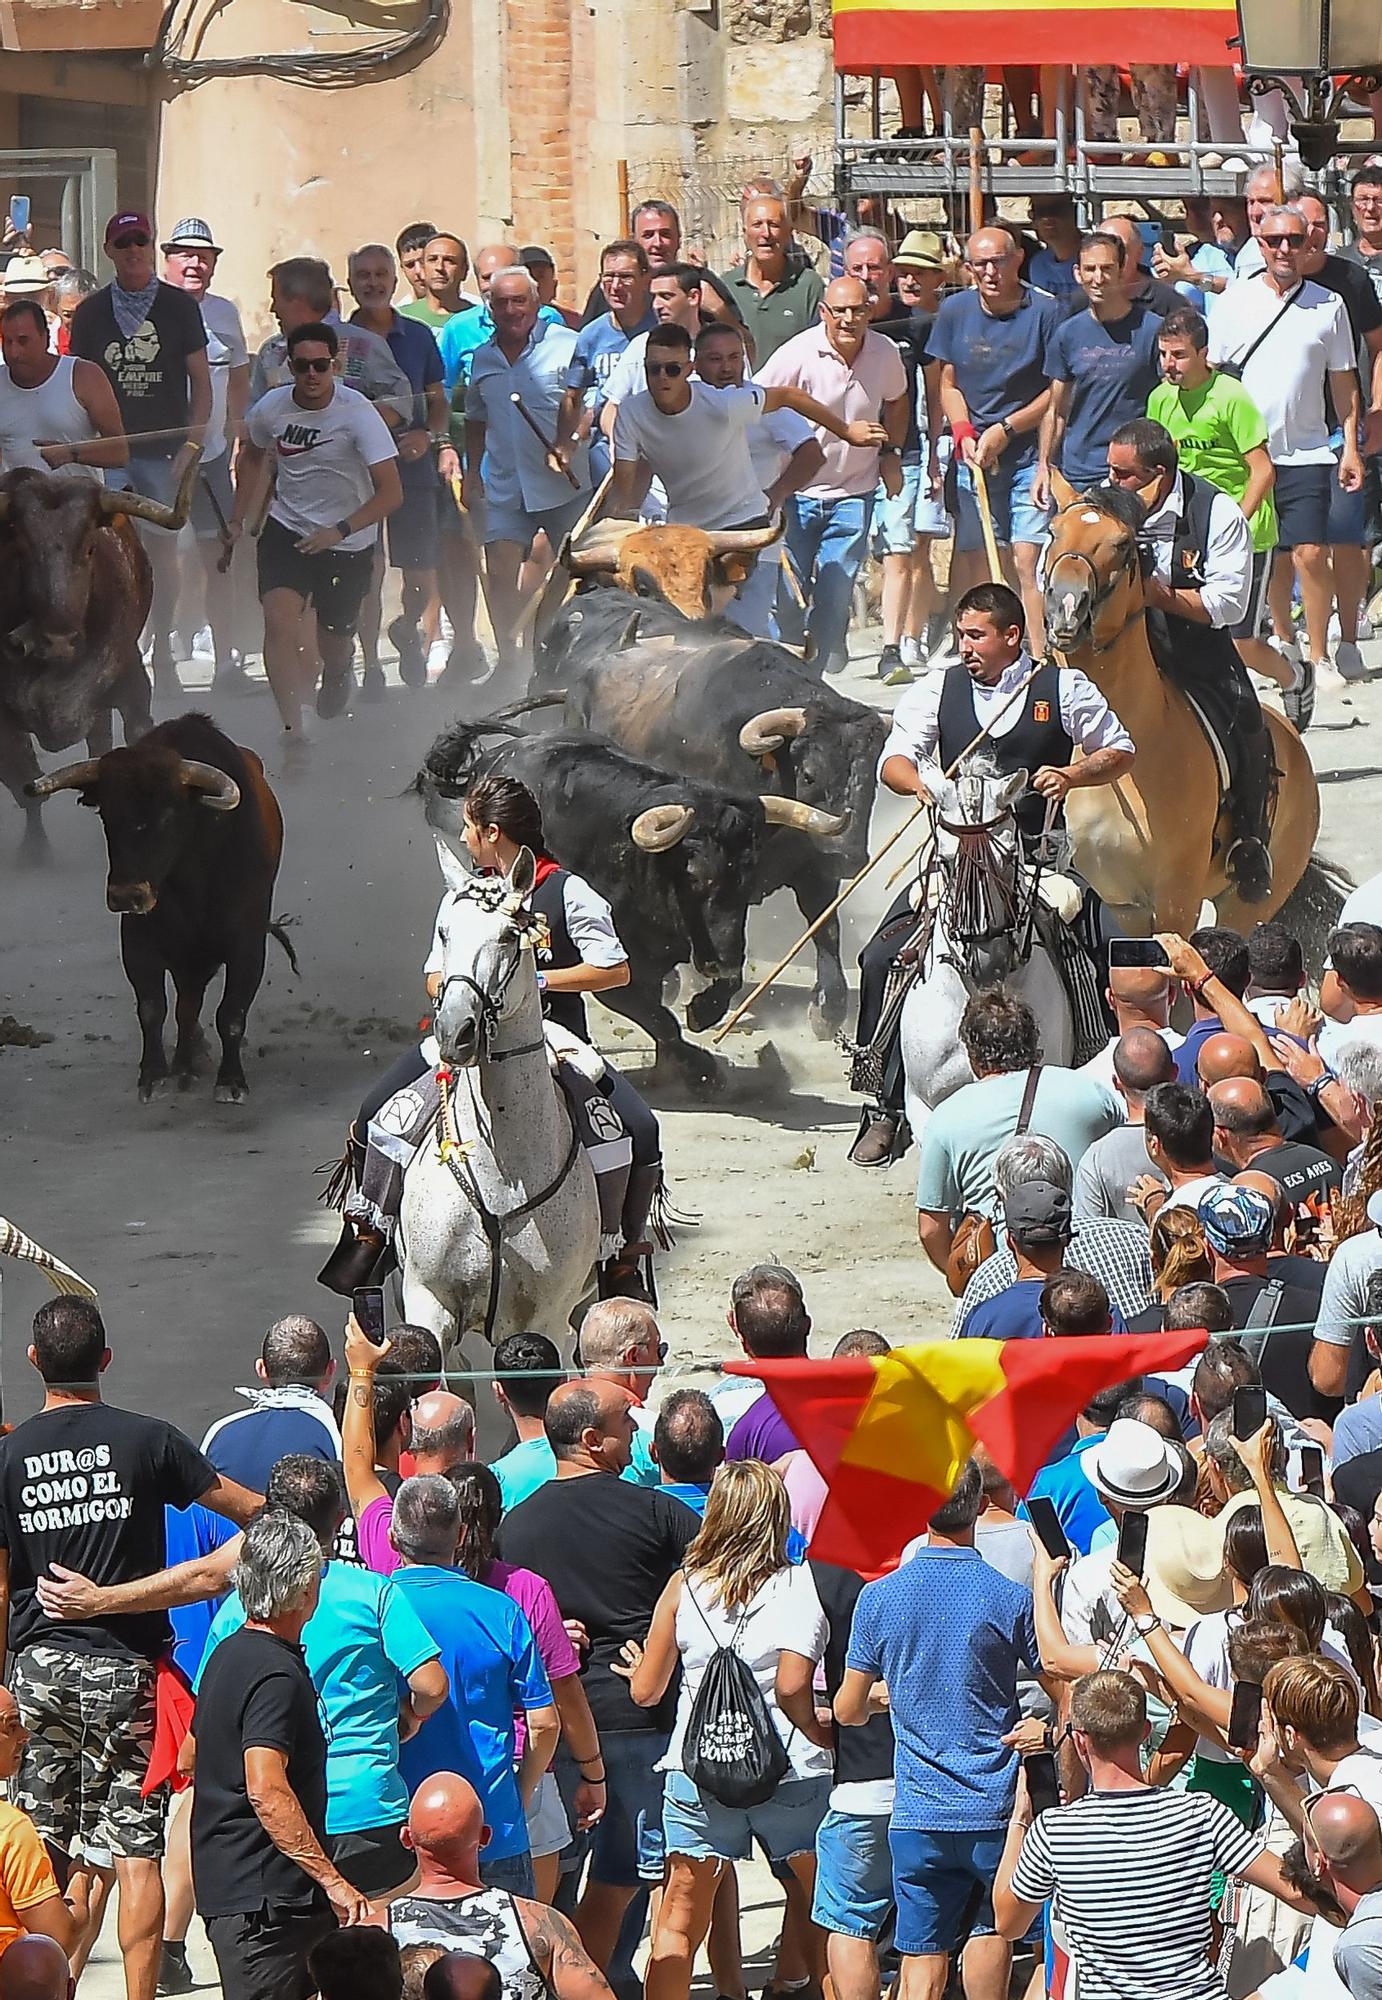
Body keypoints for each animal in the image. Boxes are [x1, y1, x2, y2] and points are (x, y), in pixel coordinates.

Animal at [394, 848, 600, 1392]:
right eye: (444, 932)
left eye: (509, 935)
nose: (454, 1032)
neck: (500, 1171)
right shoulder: (428, 1301)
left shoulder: (547, 1318)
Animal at [416, 728, 848, 1088]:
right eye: (696, 875)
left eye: (749, 876)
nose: (722, 961)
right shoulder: (620, 976)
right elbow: (659, 1018)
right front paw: (699, 1070)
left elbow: (714, 990)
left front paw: (702, 1014)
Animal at [528, 588, 888, 1032]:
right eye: (809, 773)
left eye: (872, 778)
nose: (850, 857)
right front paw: (701, 999)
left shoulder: (812, 865)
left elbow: (825, 926)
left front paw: (828, 1007)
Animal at [1048, 476, 1320, 936]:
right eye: (1052, 532)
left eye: (1122, 544)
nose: (1066, 608)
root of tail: (1293, 742)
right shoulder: (1126, 905)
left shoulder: (1177, 902)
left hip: (1251, 901)